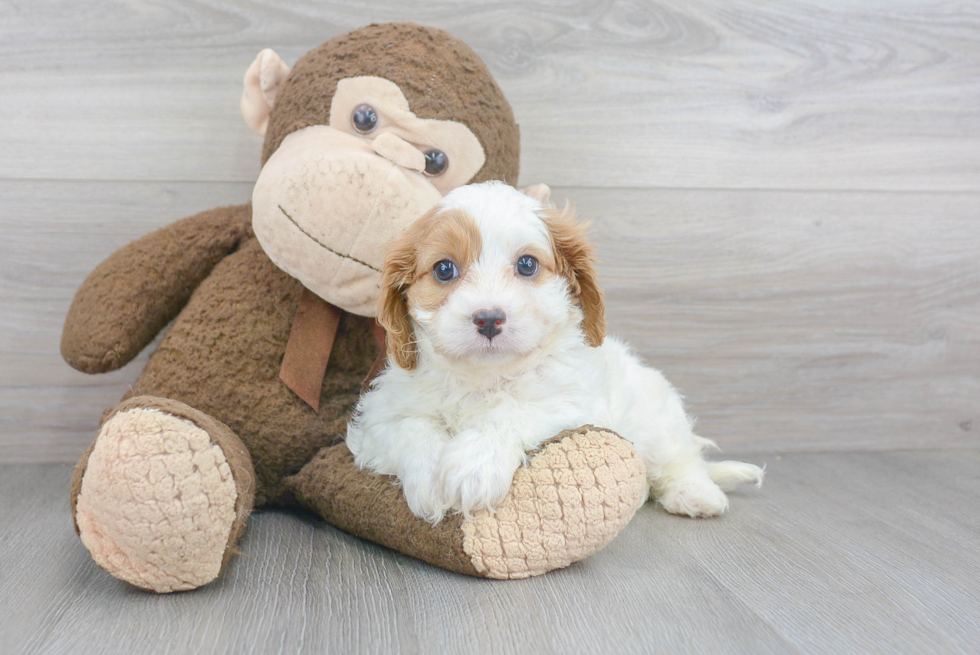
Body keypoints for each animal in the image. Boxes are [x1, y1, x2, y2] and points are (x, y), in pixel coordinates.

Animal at [346, 182, 764, 524]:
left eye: (527, 264)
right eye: (444, 269)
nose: (488, 319)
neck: (484, 378)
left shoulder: (571, 402)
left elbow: (515, 411)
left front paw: (474, 466)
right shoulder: (378, 417)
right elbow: (410, 427)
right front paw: (431, 478)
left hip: (656, 419)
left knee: (682, 458)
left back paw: (696, 493)